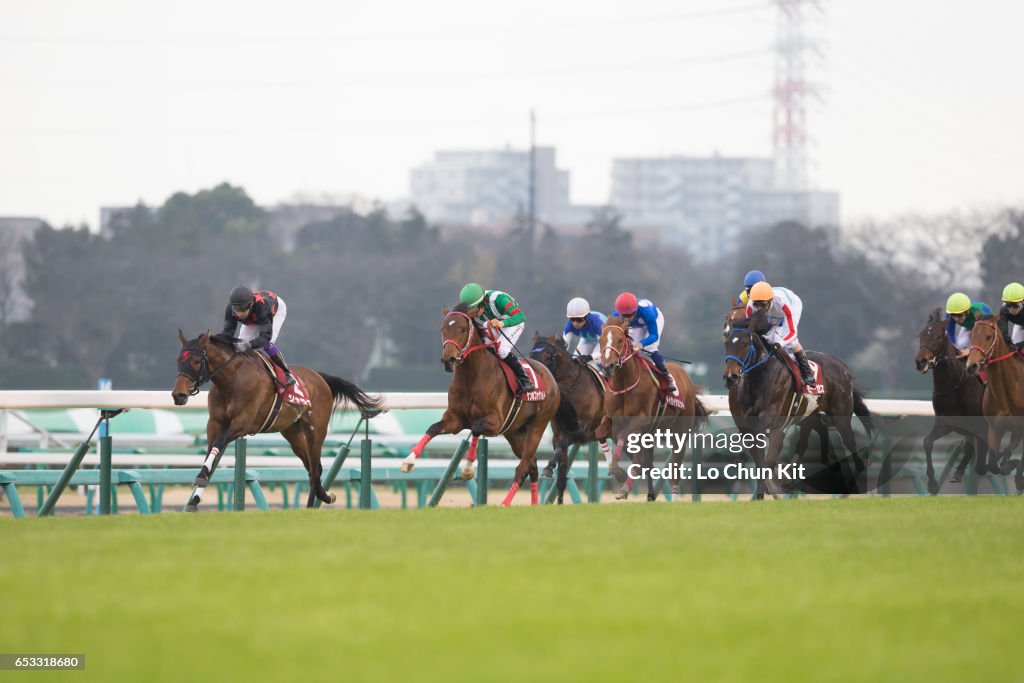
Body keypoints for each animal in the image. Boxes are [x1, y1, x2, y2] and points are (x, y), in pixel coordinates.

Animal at [174, 327, 382, 509]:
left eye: (195, 361)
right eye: (178, 360)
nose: (178, 395)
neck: (232, 380)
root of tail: (320, 376)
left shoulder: (242, 424)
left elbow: (217, 445)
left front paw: (200, 479)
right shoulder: (215, 424)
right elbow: (211, 453)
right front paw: (194, 500)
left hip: (316, 431)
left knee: (315, 469)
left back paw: (317, 502)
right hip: (293, 433)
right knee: (311, 467)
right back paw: (320, 497)